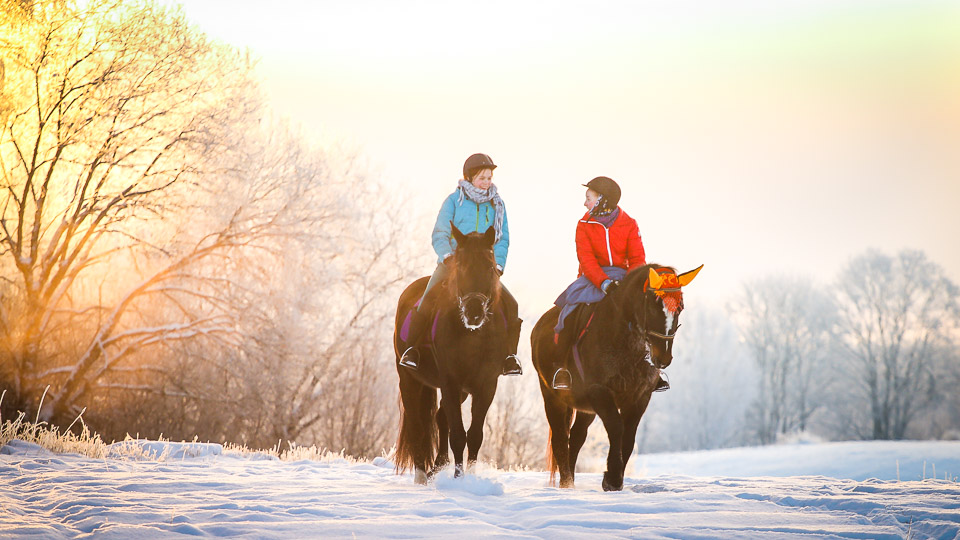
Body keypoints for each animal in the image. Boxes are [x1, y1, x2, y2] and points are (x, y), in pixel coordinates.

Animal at [392, 226, 516, 484]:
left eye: (490, 267)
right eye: (461, 266)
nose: (474, 313)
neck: (472, 336)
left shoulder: (486, 385)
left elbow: (475, 434)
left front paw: (470, 478)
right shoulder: (450, 381)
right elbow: (458, 434)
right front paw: (459, 480)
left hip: (462, 392)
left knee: (440, 417)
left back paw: (437, 467)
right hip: (408, 379)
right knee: (418, 425)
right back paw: (421, 475)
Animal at [528, 264, 700, 492]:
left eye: (679, 308)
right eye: (653, 307)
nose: (663, 358)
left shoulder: (640, 397)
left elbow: (629, 436)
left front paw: (614, 478)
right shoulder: (600, 392)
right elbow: (617, 428)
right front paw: (612, 478)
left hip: (586, 409)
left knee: (576, 437)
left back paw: (571, 481)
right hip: (553, 398)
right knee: (560, 438)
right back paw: (566, 484)